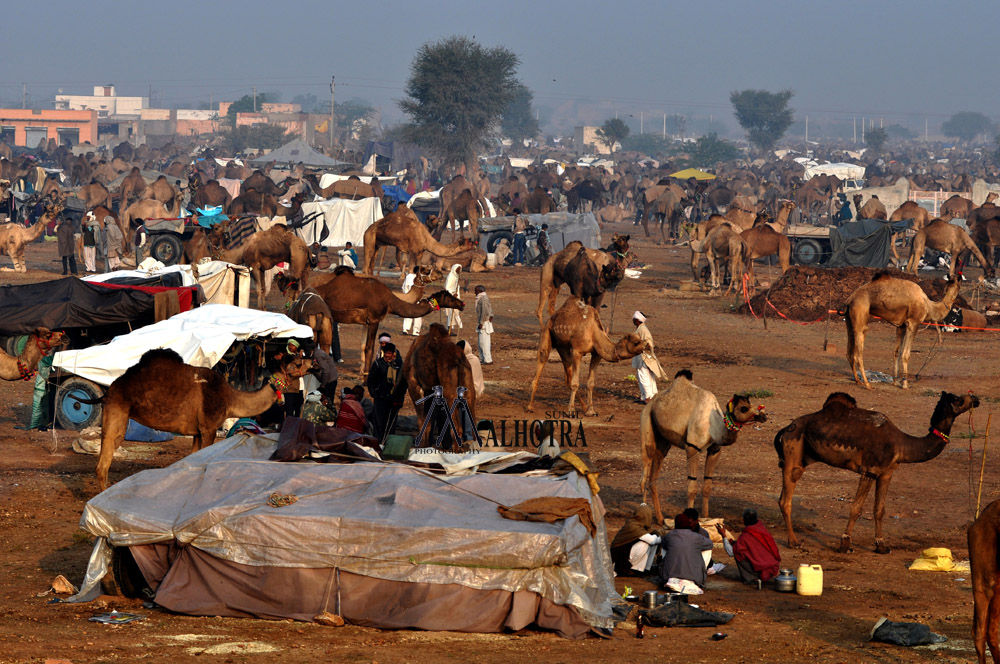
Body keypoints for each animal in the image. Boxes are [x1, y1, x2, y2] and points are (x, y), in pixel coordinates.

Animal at [86, 350, 312, 490]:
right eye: (297, 362)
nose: (313, 362)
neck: (230, 398)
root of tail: (109, 390)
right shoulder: (209, 427)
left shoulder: (197, 431)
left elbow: (192, 459)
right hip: (117, 410)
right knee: (104, 461)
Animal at [636, 368, 768, 524]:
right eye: (743, 408)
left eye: (751, 404)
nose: (763, 415)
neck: (714, 426)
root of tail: (652, 402)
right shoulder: (692, 447)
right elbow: (692, 488)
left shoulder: (715, 449)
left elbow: (707, 487)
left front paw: (706, 517)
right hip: (646, 422)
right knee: (644, 474)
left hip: (663, 441)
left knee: (653, 476)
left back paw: (661, 518)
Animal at [776, 392, 980, 552]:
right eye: (958, 399)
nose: (975, 399)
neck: (902, 445)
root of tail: (785, 429)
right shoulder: (870, 470)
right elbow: (856, 508)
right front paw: (844, 545)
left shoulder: (886, 473)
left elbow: (879, 510)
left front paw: (881, 546)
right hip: (793, 453)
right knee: (786, 499)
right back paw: (794, 542)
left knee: (782, 498)